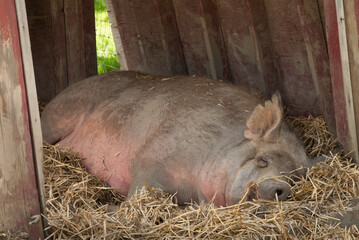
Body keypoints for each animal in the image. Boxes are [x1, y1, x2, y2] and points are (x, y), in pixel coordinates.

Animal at [40, 71, 314, 206]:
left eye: (296, 177)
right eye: (263, 160)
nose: (281, 187)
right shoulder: (154, 158)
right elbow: (139, 192)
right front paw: (113, 208)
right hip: (61, 113)